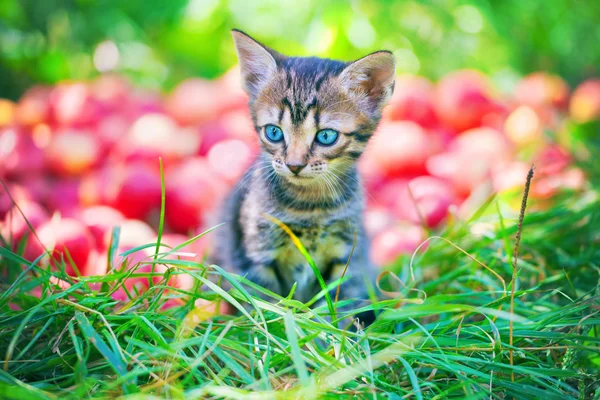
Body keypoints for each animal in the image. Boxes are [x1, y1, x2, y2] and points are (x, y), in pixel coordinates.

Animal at [213, 28, 396, 322]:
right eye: (274, 132)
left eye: (326, 136)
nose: (294, 165)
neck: (309, 205)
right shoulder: (256, 255)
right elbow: (264, 304)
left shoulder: (346, 256)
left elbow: (338, 306)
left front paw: (331, 333)